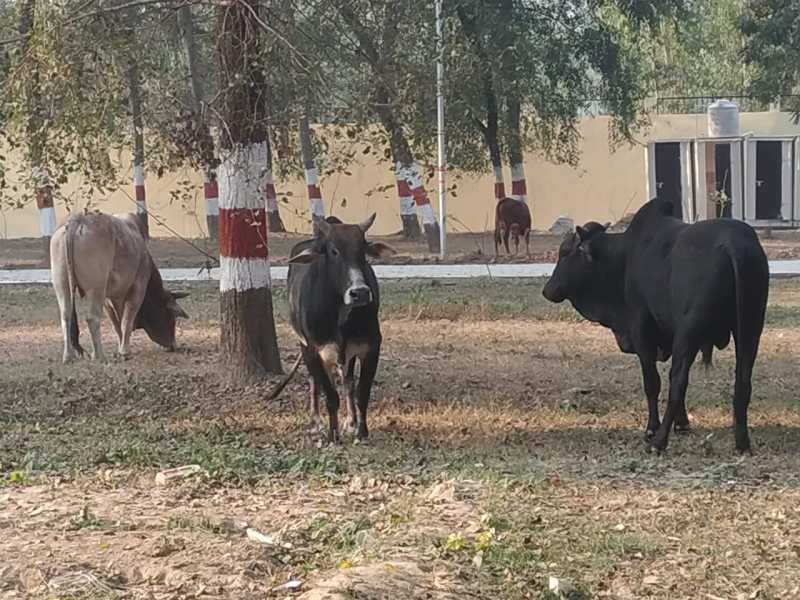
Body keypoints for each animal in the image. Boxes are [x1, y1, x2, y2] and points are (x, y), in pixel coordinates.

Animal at [50, 212, 189, 363]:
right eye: (172, 316)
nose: (173, 345)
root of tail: (77, 219)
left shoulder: (108, 298)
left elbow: (117, 325)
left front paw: (120, 348)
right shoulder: (138, 288)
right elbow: (126, 322)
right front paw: (124, 352)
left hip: (62, 284)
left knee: (66, 316)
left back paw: (68, 356)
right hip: (96, 289)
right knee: (92, 318)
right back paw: (99, 355)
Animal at [269, 214, 394, 444]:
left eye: (362, 251)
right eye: (334, 251)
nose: (360, 292)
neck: (340, 316)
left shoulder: (371, 348)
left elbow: (361, 392)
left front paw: (361, 432)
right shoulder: (312, 350)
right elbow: (330, 395)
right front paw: (332, 435)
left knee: (347, 381)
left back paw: (351, 421)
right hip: (306, 348)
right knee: (314, 382)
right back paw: (316, 420)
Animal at [542, 198, 769, 454]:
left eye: (564, 252)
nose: (548, 290)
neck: (624, 256)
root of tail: (734, 243)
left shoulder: (641, 329)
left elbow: (652, 383)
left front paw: (652, 428)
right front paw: (682, 423)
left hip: (689, 332)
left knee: (677, 380)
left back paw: (659, 441)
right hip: (750, 328)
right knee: (742, 380)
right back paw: (742, 442)